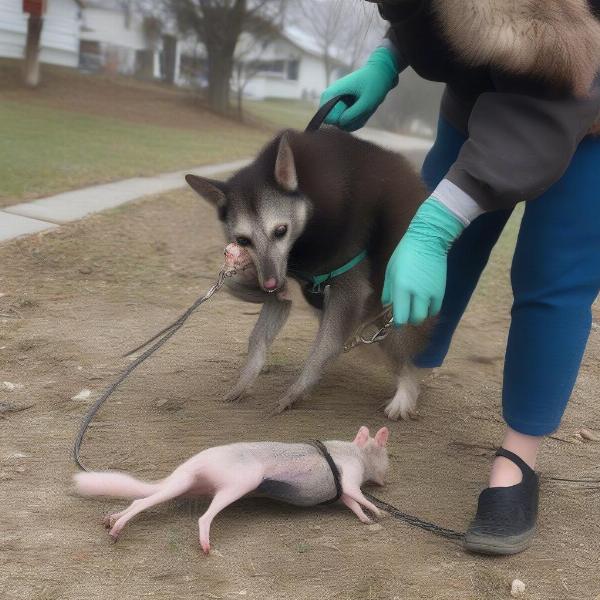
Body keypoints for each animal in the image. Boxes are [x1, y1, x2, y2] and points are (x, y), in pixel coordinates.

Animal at [185, 126, 428, 418]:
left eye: (281, 231)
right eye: (243, 240)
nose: (269, 284)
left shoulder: (348, 270)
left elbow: (329, 340)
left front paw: (298, 387)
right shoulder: (281, 272)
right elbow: (262, 330)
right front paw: (247, 375)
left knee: (400, 328)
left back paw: (406, 385)